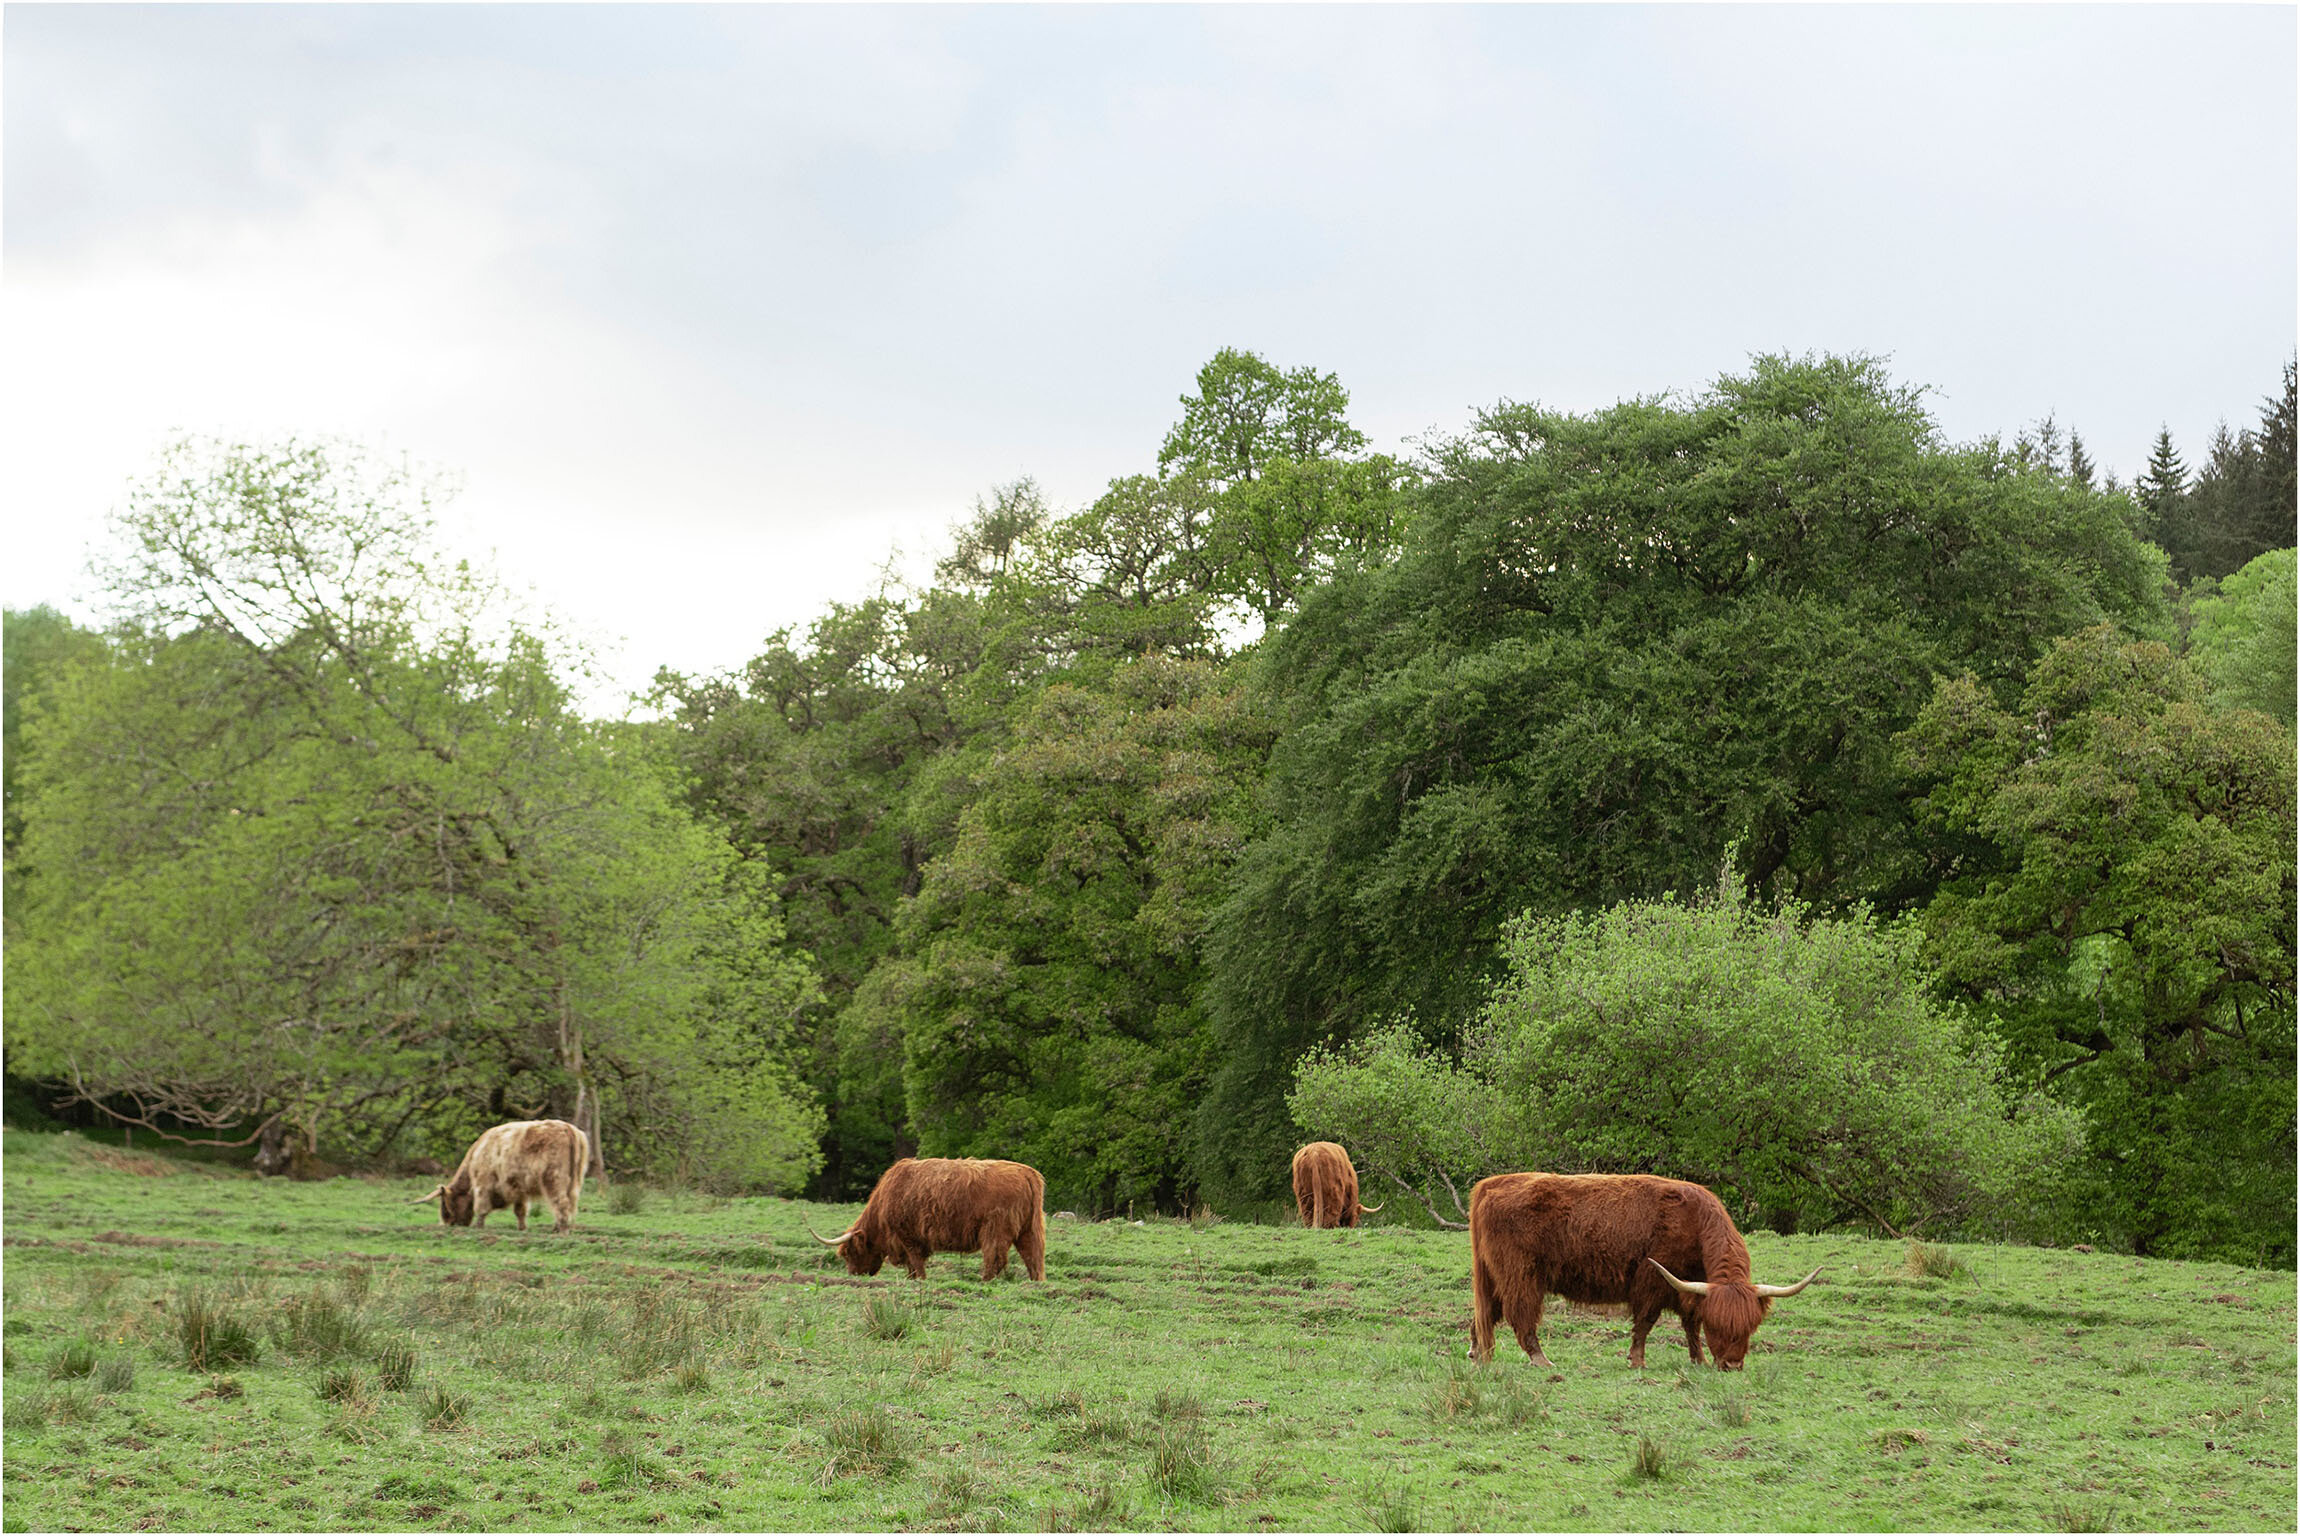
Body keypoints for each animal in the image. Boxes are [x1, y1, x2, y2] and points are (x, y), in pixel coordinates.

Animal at [416, 1117, 588, 1232]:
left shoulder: (483, 1184)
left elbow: (481, 1207)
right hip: (574, 1182)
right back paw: (558, 1227)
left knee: (560, 1202)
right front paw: (522, 1228)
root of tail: (567, 1128)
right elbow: (520, 1210)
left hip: (553, 1178)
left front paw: (479, 1227)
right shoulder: (518, 1188)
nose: (450, 1224)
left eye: (445, 1205)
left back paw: (561, 1230)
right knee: (568, 1203)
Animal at [814, 1158, 1048, 1278]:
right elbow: (912, 1265)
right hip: (1029, 1229)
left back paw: (984, 1281)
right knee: (1033, 1258)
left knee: (995, 1259)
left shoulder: (908, 1236)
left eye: (850, 1253)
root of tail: (1027, 1172)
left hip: (995, 1229)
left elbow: (916, 1262)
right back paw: (1034, 1284)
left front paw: (920, 1279)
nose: (854, 1276)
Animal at [1472, 1168, 1812, 1370]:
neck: (1696, 1223)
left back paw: (1479, 1355)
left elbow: (1690, 1325)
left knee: (1484, 1314)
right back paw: (1542, 1360)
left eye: (1750, 1327)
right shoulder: (1653, 1282)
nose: (1731, 1366)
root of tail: (1492, 1183)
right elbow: (1646, 1322)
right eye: (1718, 1327)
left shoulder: (1691, 1289)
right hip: (1521, 1275)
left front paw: (1699, 1359)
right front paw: (1637, 1361)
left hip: (1492, 1276)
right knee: (1520, 1315)